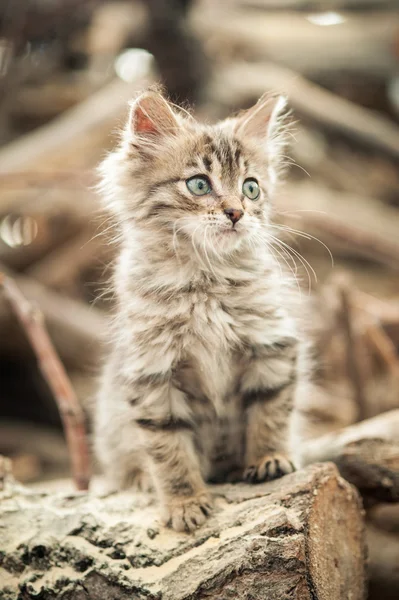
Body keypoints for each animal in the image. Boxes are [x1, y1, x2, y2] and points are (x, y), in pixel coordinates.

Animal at [94, 88, 310, 528]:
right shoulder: (152, 372)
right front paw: (185, 502)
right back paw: (141, 479)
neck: (205, 282)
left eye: (251, 189)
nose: (236, 213)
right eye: (198, 184)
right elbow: (168, 449)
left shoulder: (271, 343)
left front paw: (270, 458)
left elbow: (271, 411)